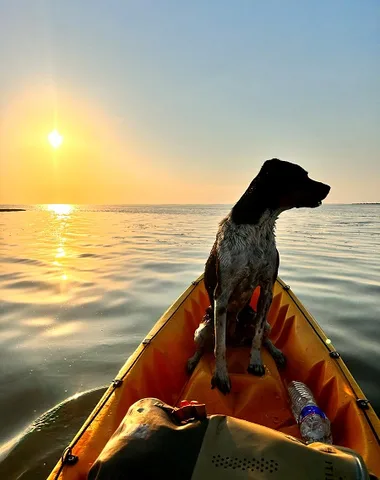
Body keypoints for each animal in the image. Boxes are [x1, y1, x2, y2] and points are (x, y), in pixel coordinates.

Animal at [186, 158, 330, 394]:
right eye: (301, 175)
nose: (328, 187)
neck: (257, 227)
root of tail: (237, 341)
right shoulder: (221, 295)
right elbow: (219, 347)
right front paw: (221, 375)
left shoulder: (267, 289)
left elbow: (257, 337)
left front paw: (255, 363)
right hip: (203, 327)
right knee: (206, 345)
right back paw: (193, 360)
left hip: (257, 319)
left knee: (263, 337)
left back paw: (276, 352)